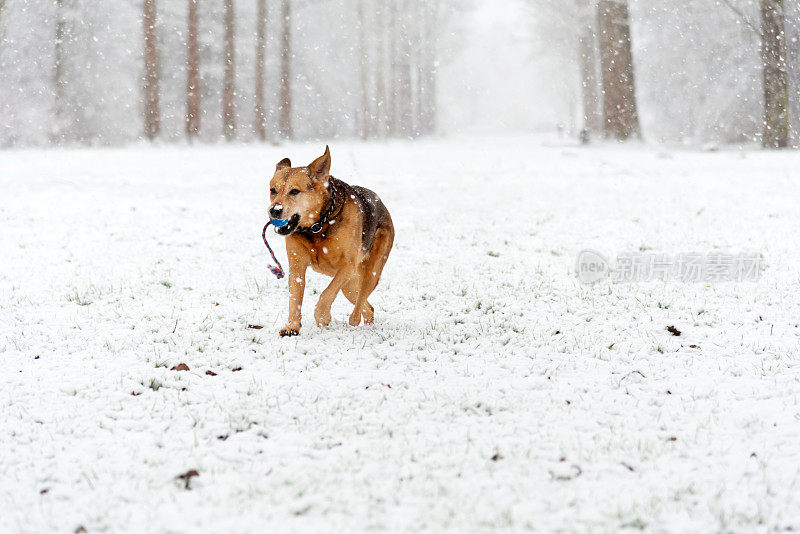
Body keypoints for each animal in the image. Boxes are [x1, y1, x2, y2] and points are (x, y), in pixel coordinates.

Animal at [268, 147, 394, 338]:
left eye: (294, 191)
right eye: (273, 190)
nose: (274, 210)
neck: (318, 226)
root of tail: (381, 204)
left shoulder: (348, 265)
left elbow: (327, 293)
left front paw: (322, 316)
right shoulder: (297, 266)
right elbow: (294, 298)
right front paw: (292, 326)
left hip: (370, 272)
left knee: (362, 298)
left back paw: (355, 320)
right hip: (349, 286)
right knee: (368, 306)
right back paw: (367, 324)